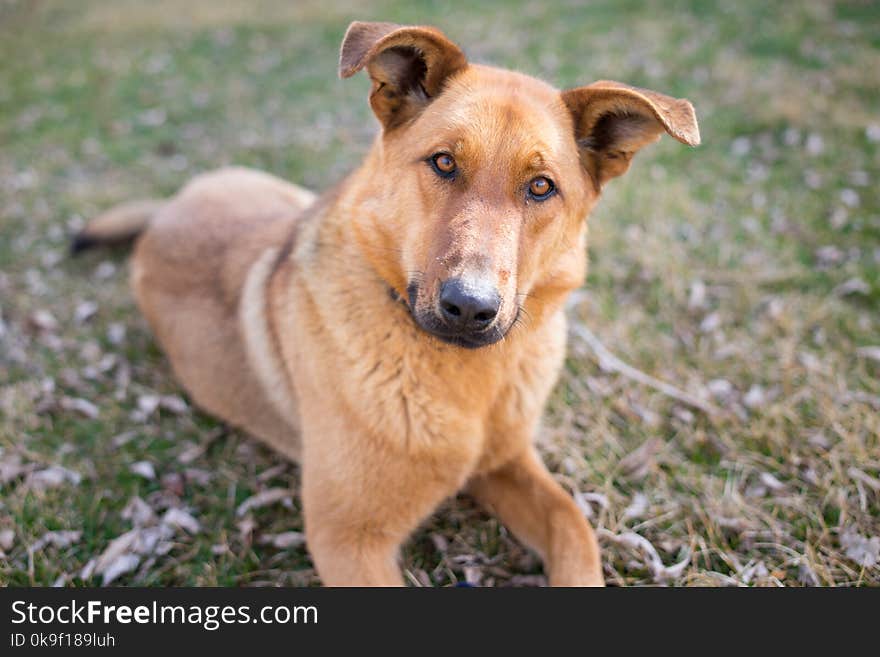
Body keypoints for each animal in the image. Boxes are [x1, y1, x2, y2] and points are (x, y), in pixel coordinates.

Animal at [74, 21, 700, 584]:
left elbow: (575, 526)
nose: (470, 309)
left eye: (541, 187)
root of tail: (168, 209)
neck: (463, 376)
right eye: (443, 162)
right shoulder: (349, 539)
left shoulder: (508, 463)